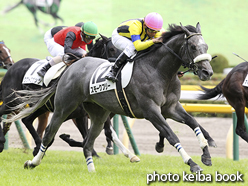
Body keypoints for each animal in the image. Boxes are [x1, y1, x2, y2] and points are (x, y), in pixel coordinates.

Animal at [6, 22, 214, 173]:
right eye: (193, 46)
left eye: (206, 46)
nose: (208, 72)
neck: (160, 71)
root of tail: (71, 68)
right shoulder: (151, 111)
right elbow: (171, 135)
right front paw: (192, 163)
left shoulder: (171, 108)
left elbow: (193, 123)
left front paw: (206, 153)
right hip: (63, 108)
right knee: (49, 133)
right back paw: (32, 162)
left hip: (97, 114)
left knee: (88, 140)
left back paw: (91, 170)